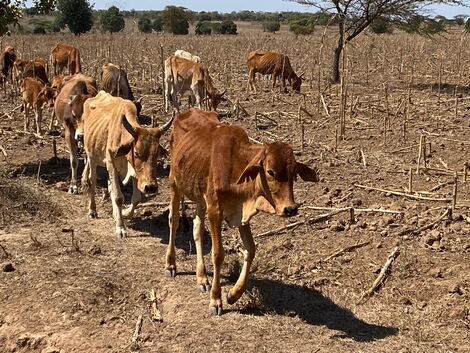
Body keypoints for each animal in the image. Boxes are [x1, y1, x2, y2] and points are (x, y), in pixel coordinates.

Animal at [81, 90, 173, 236]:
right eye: (136, 153)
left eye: (157, 153)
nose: (151, 187)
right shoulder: (111, 164)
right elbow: (118, 197)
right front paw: (120, 228)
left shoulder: (134, 172)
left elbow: (136, 198)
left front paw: (123, 213)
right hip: (91, 157)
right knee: (92, 181)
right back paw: (92, 210)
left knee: (108, 185)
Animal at [165, 107, 320, 314]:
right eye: (270, 171)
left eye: (294, 172)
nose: (290, 209)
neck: (235, 164)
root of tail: (187, 111)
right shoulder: (215, 210)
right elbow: (218, 254)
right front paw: (216, 300)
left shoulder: (241, 214)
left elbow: (251, 249)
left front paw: (233, 294)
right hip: (175, 182)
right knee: (173, 220)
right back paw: (171, 264)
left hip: (199, 195)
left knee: (197, 229)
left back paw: (202, 277)